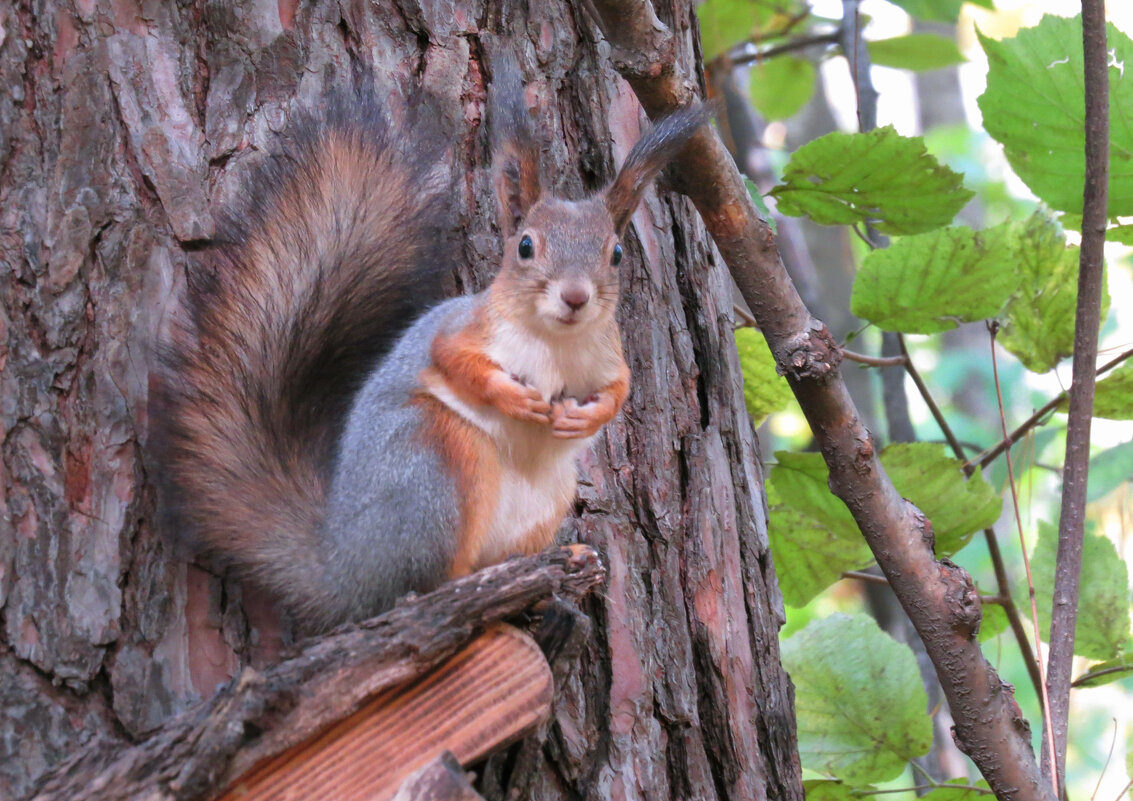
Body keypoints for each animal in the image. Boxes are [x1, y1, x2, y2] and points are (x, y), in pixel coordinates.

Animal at [155, 56, 706, 634]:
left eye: (616, 253)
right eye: (525, 246)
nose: (576, 297)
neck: (557, 343)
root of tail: (344, 571)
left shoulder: (609, 357)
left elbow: (619, 393)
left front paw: (585, 416)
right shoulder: (463, 328)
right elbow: (456, 362)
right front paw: (515, 398)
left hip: (545, 498)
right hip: (437, 462)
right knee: (424, 578)